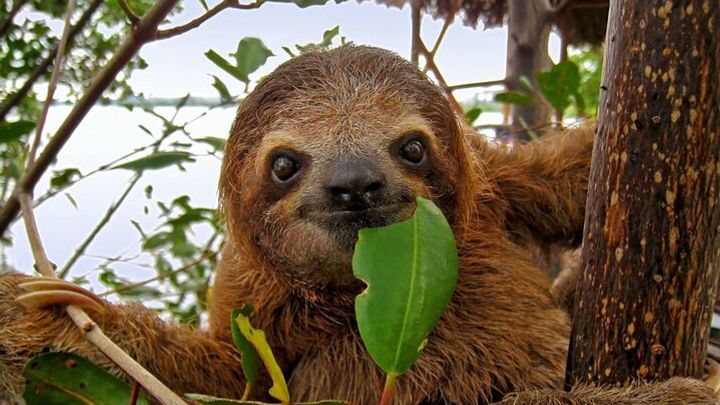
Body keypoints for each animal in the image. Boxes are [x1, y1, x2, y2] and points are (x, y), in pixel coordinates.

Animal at [0, 45, 717, 404]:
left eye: (412, 147)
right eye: (284, 164)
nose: (354, 184)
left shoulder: (497, 189)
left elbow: (570, 177)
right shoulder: (250, 298)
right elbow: (225, 377)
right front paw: (51, 316)